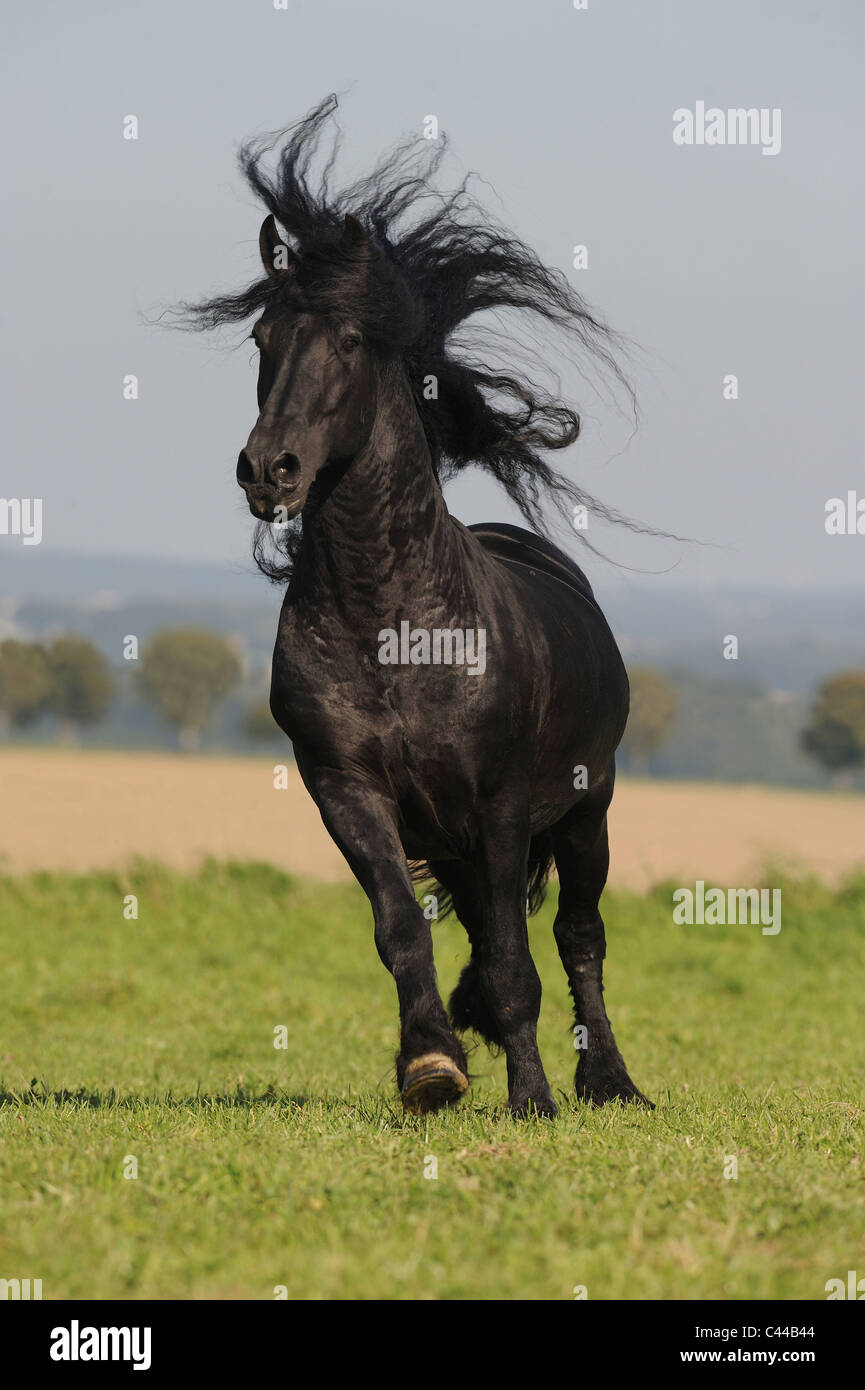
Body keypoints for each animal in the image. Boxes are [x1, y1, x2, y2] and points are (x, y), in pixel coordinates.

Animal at [180, 95, 651, 1117]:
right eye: (261, 340)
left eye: (350, 342)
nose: (268, 471)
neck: (393, 631)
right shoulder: (345, 790)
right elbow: (400, 927)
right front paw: (432, 1065)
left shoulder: (501, 801)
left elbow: (520, 958)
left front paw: (530, 1099)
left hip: (585, 811)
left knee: (578, 937)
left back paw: (609, 1083)